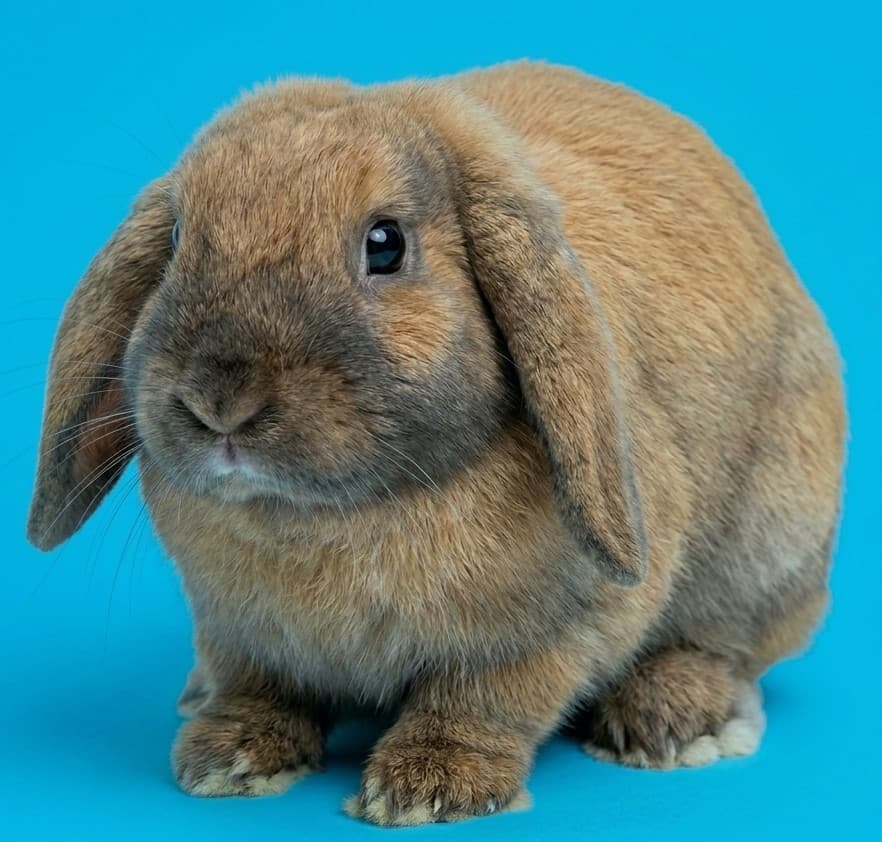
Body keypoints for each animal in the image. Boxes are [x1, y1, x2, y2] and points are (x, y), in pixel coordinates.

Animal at [27, 61, 845, 825]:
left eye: (385, 245)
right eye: (175, 239)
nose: (218, 401)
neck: (327, 520)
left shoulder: (552, 631)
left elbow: (483, 699)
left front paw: (427, 788)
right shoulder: (236, 629)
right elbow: (258, 685)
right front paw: (228, 757)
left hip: (768, 544)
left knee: (727, 644)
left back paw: (672, 722)